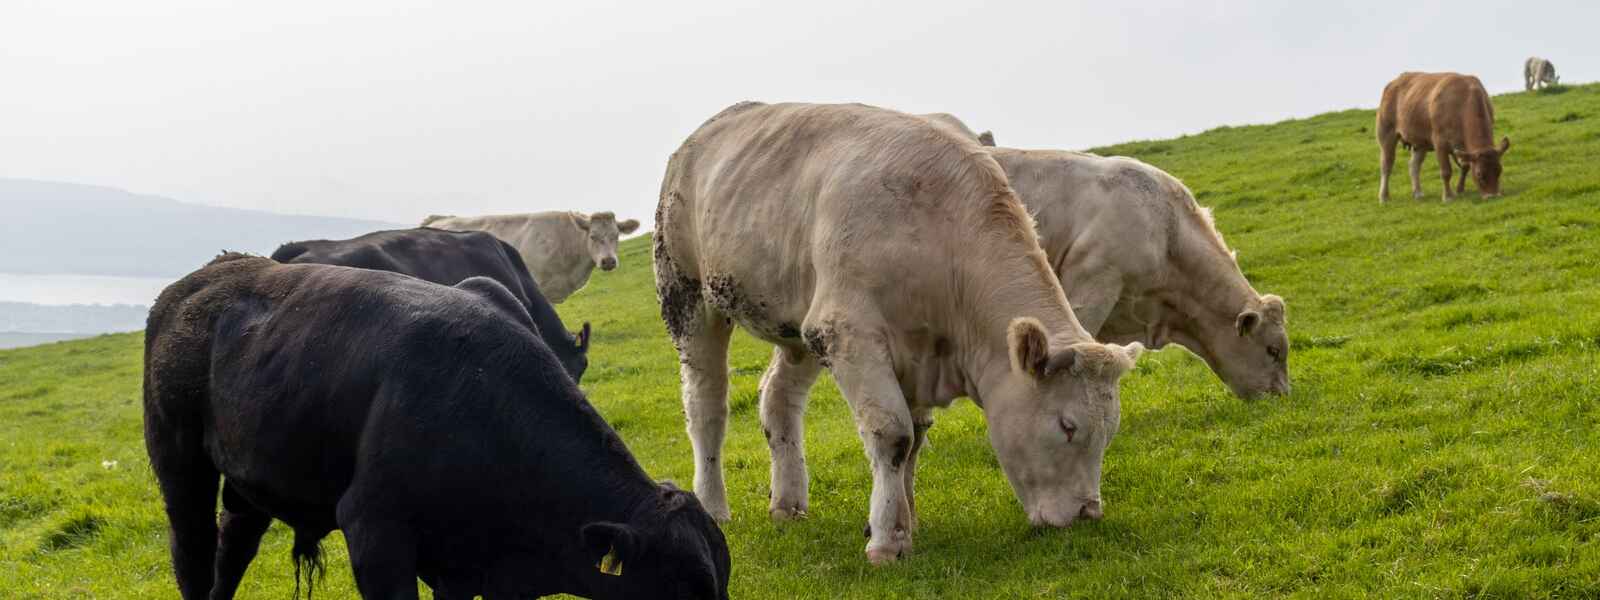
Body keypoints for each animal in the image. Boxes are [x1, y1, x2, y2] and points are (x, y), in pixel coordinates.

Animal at [143, 254, 729, 600]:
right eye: (682, 591)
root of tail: (205, 275)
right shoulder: (374, 533)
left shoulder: (468, 568)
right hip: (178, 459)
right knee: (192, 551)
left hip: (250, 479)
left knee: (232, 547)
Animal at [654, 101, 1142, 565]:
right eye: (1067, 426)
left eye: (1110, 430)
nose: (1087, 512)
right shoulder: (849, 332)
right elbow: (894, 435)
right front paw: (887, 540)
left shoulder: (912, 349)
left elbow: (915, 439)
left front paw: (904, 523)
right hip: (686, 293)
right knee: (706, 406)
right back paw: (713, 505)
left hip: (799, 321)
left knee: (778, 398)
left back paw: (787, 503)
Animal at [1377, 72, 1511, 202]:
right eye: (1479, 174)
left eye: (1499, 170)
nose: (1493, 196)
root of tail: (1395, 81)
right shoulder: (1440, 142)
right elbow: (1446, 171)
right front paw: (1447, 196)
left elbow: (1465, 166)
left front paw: (1459, 189)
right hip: (1386, 132)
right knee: (1386, 165)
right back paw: (1384, 197)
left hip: (1421, 141)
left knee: (1414, 165)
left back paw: (1418, 193)